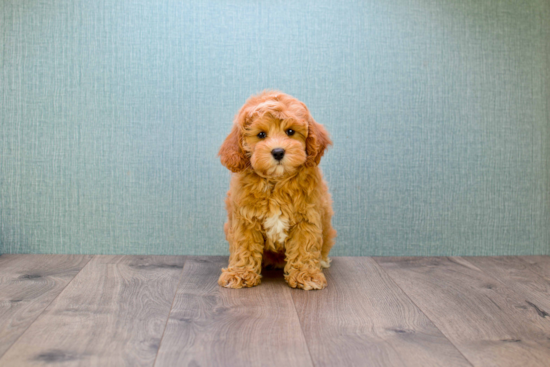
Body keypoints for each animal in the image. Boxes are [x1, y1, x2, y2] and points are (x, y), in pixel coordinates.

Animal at [219, 91, 336, 290]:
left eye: (290, 132)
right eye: (261, 134)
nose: (278, 151)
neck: (276, 182)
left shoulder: (307, 218)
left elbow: (304, 247)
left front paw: (307, 275)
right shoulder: (244, 220)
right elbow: (244, 247)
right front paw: (240, 274)